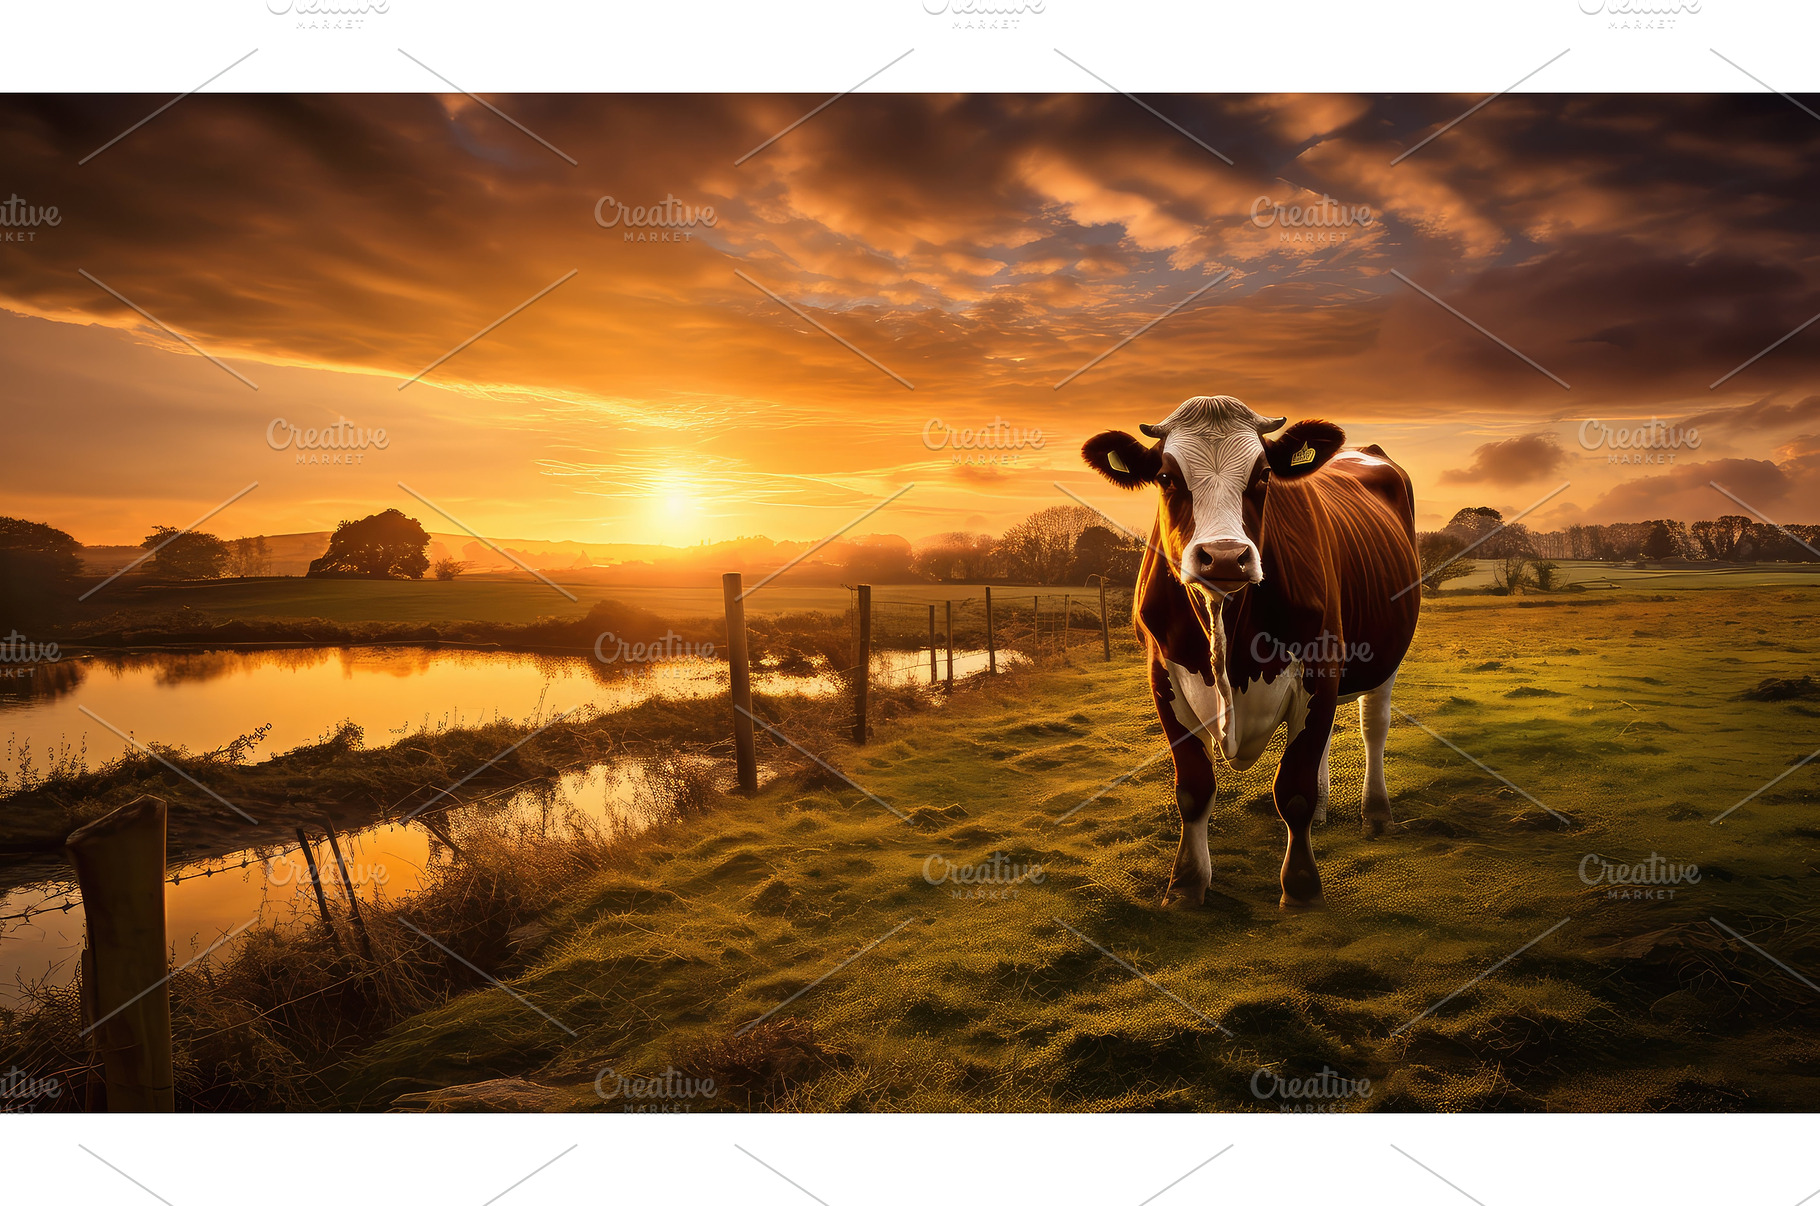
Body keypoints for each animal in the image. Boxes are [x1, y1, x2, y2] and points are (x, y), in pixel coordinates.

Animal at [1081, 395, 1421, 909]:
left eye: (1262, 477)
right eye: (1167, 477)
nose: (1224, 556)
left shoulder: (1321, 664)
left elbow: (1294, 789)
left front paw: (1300, 886)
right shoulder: (1163, 676)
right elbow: (1194, 789)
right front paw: (1186, 884)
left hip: (1383, 656)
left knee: (1372, 727)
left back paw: (1376, 814)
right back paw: (1324, 811)